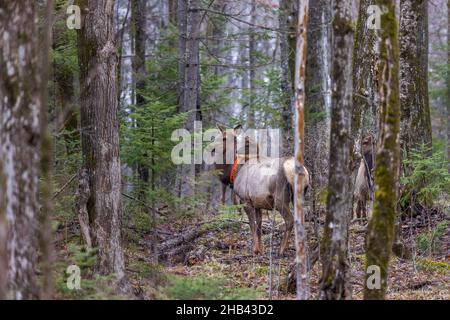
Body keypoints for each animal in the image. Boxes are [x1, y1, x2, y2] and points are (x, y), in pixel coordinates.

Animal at [213, 125, 308, 255]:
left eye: (223, 138)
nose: (212, 149)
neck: (235, 170)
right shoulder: (258, 204)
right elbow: (259, 226)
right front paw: (261, 249)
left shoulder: (245, 200)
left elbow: (252, 224)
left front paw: (255, 249)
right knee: (301, 219)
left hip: (280, 199)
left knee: (289, 220)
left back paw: (281, 249)